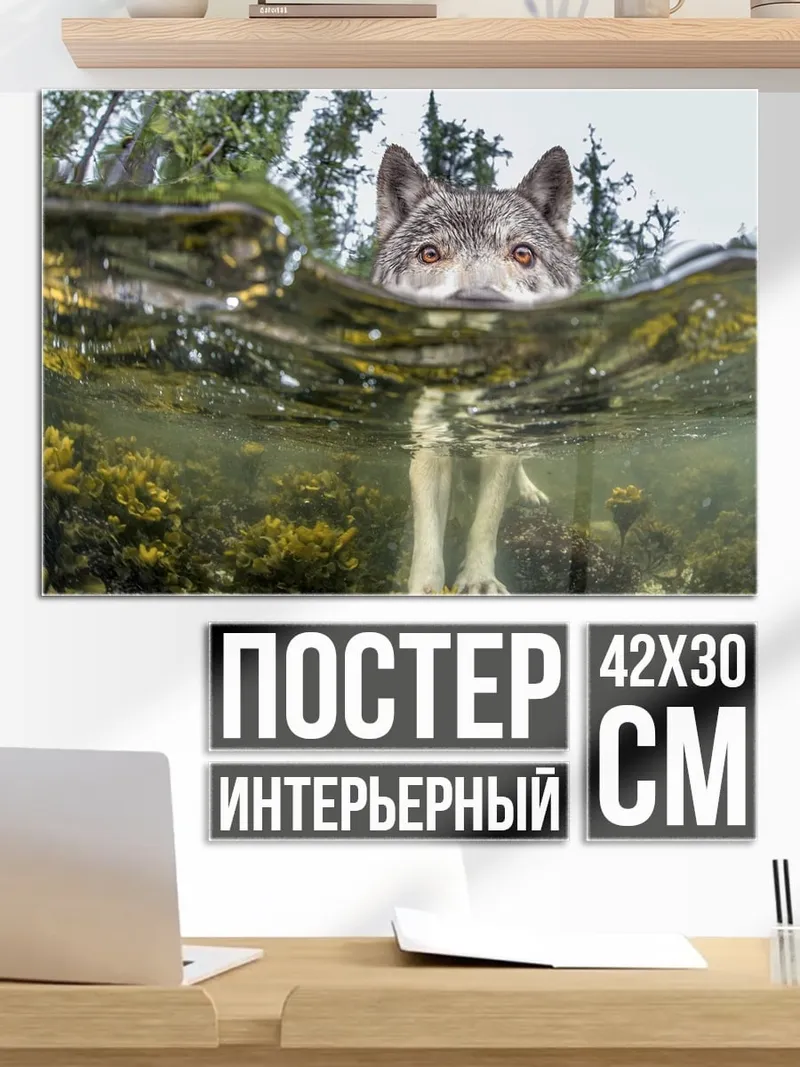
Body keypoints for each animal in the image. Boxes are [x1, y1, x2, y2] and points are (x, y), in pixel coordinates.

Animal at [371, 144, 580, 594]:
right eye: (430, 253)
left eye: (523, 253)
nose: (480, 302)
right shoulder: (430, 446)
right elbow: (427, 536)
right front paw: (424, 589)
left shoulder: (498, 446)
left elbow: (486, 522)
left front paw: (480, 581)